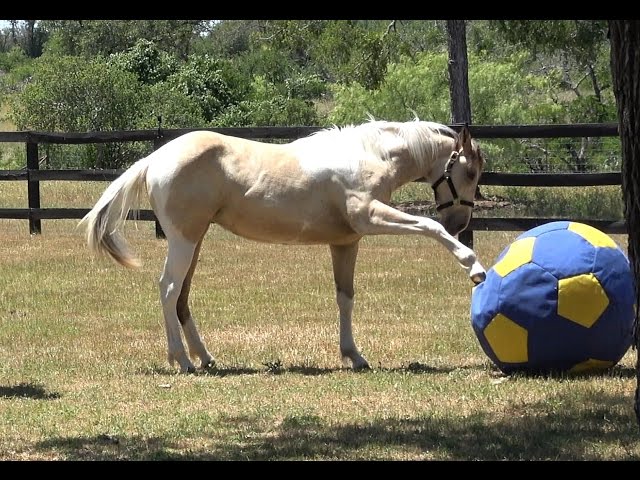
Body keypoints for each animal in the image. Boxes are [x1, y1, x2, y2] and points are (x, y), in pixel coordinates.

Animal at [79, 118, 484, 374]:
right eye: (470, 171)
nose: (460, 224)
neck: (367, 156)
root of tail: (155, 158)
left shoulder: (346, 241)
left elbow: (345, 297)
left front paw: (354, 356)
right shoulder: (370, 217)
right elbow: (429, 225)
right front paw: (474, 267)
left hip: (195, 240)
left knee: (182, 296)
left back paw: (205, 358)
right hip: (184, 239)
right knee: (168, 288)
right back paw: (182, 360)